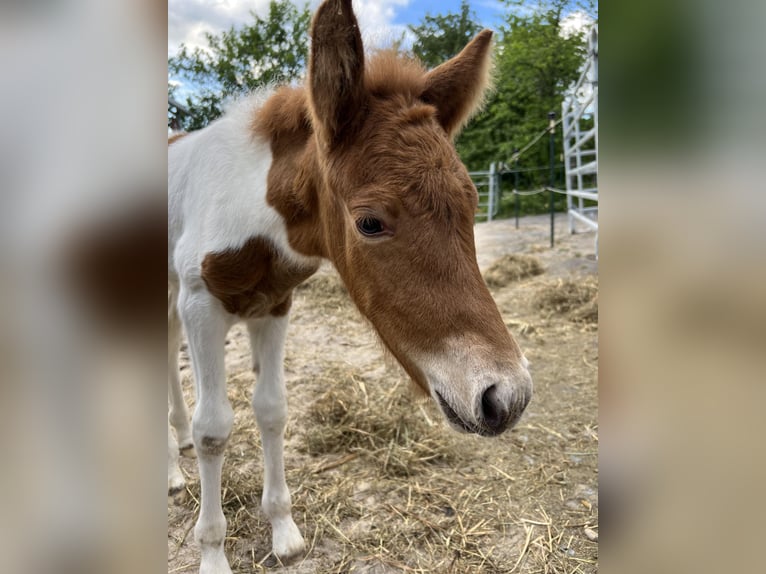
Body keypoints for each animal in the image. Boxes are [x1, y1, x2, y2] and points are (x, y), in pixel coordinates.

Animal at [168, 1, 532, 571]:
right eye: (369, 223)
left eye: (473, 203)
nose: (506, 398)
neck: (249, 209)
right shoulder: (200, 307)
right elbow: (215, 429)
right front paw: (212, 554)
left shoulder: (275, 305)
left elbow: (271, 410)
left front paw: (284, 531)